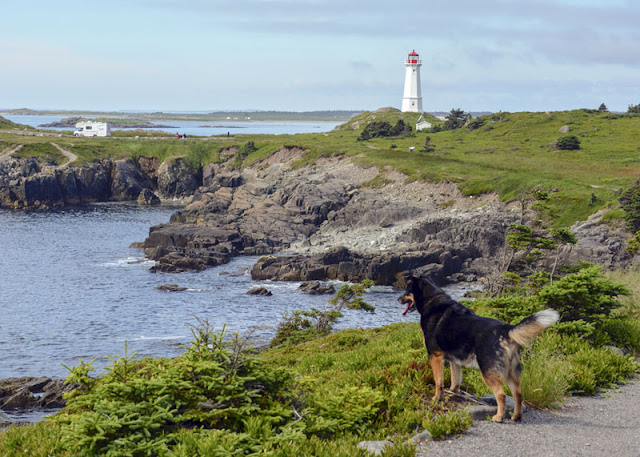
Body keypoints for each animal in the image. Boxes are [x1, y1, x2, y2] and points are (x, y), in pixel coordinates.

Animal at [398, 274, 556, 420]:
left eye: (407, 291)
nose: (398, 299)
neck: (431, 300)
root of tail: (505, 329)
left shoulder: (435, 356)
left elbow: (438, 382)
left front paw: (437, 398)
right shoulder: (455, 361)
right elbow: (455, 381)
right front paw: (452, 394)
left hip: (487, 371)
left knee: (501, 394)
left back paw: (499, 417)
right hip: (511, 371)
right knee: (518, 393)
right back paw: (516, 416)